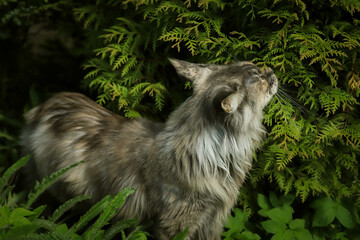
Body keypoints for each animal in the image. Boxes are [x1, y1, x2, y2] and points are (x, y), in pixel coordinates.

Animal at [20, 58, 278, 240]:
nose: (271, 71)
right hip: (45, 190)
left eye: (255, 66)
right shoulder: (177, 221)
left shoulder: (212, 220)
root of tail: (43, 107)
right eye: (258, 76)